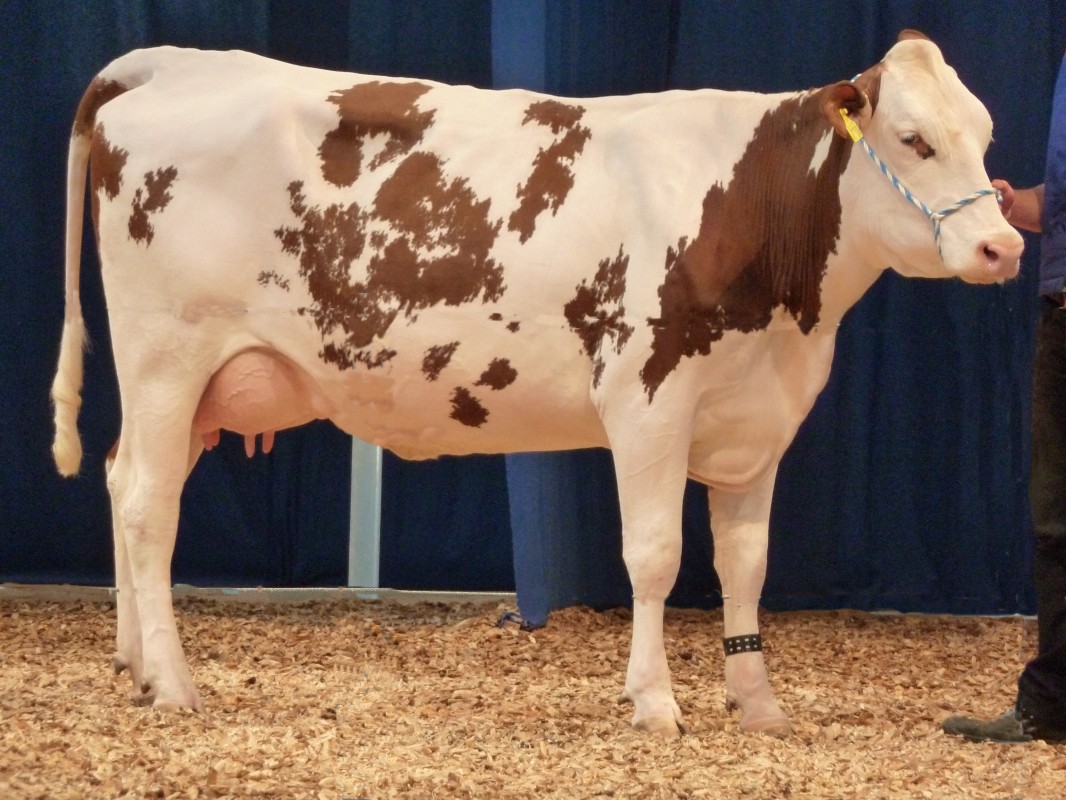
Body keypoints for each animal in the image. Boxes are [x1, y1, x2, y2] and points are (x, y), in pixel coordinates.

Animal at [51, 30, 1021, 737]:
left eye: (984, 136)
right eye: (913, 140)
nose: (1002, 245)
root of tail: (168, 63)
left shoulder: (759, 419)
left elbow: (745, 565)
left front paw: (758, 703)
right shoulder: (648, 399)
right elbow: (656, 555)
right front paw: (655, 702)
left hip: (188, 387)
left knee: (122, 478)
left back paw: (134, 664)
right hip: (166, 354)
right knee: (148, 506)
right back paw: (174, 682)